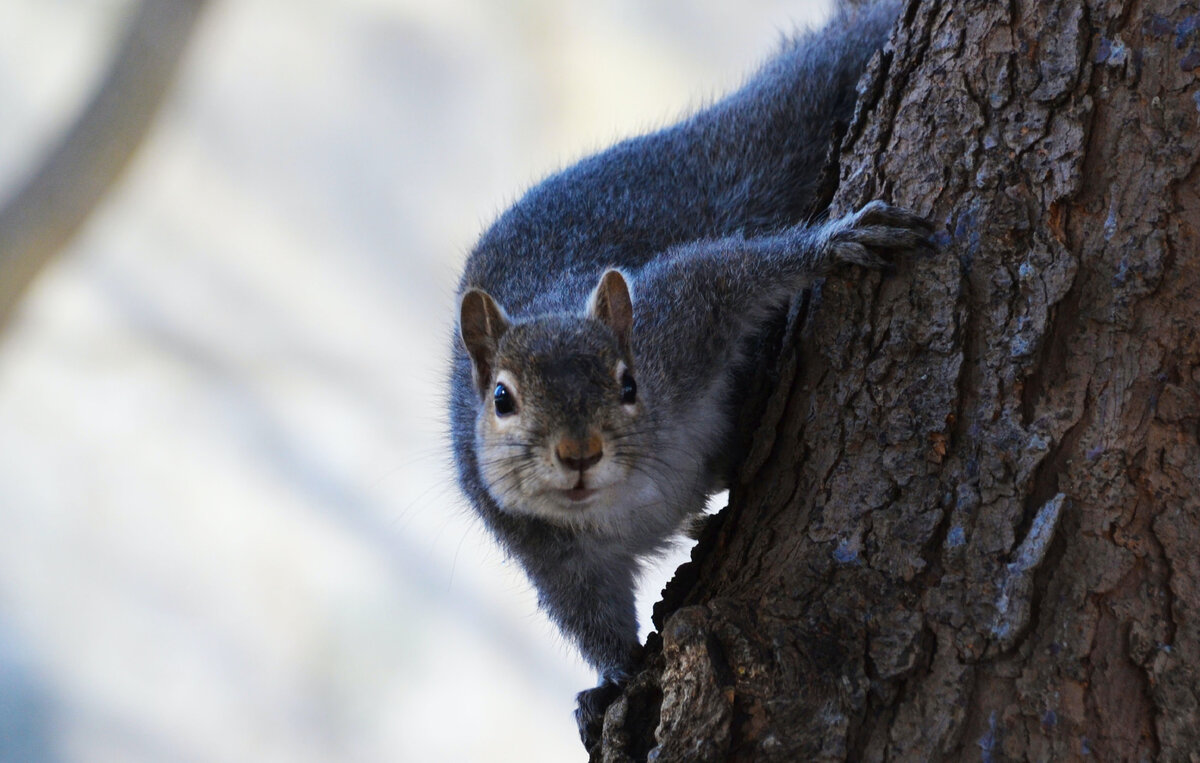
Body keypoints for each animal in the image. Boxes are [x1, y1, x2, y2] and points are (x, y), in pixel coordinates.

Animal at [451, 0, 926, 753]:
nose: (578, 454)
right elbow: (591, 620)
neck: (630, 496)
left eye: (628, 383)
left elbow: (731, 270)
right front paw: (612, 682)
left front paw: (834, 243)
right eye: (501, 398)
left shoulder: (680, 316)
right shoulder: (548, 556)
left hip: (763, 145)